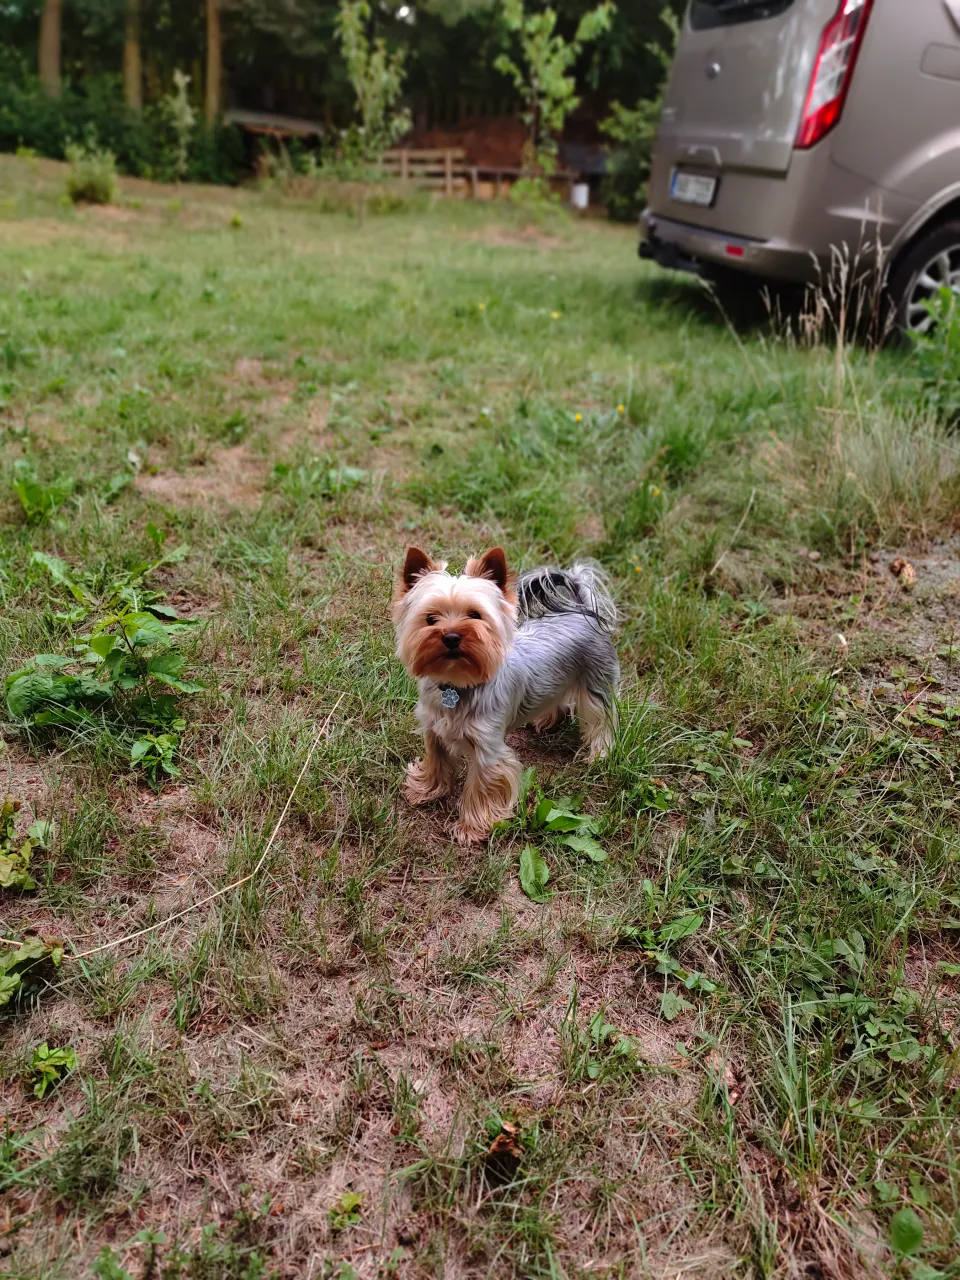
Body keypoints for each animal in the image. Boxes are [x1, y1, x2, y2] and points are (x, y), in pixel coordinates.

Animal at [391, 545, 624, 844]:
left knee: (601, 721)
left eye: (475, 615)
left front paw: (470, 828)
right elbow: (436, 762)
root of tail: (582, 608)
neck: (458, 685)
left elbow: (481, 787)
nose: (451, 636)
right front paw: (425, 789)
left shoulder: (488, 750)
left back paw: (599, 755)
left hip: (597, 685)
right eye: (430, 618)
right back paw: (545, 719)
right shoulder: (434, 732)